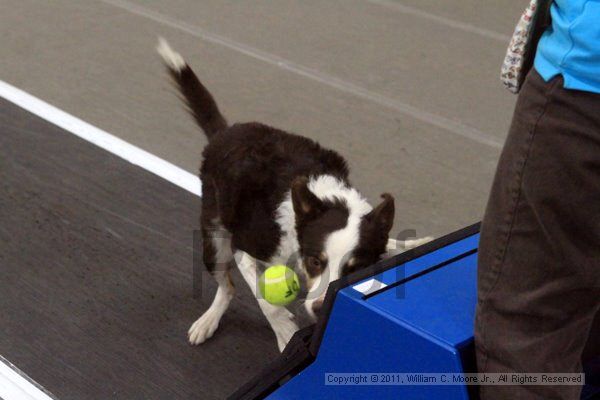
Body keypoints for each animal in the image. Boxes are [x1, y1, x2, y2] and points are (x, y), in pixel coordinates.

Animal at [157, 39, 428, 352]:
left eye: (355, 267)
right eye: (316, 262)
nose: (321, 308)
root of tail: (223, 134)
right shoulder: (244, 247)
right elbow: (264, 297)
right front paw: (285, 332)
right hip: (214, 242)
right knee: (227, 286)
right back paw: (208, 321)